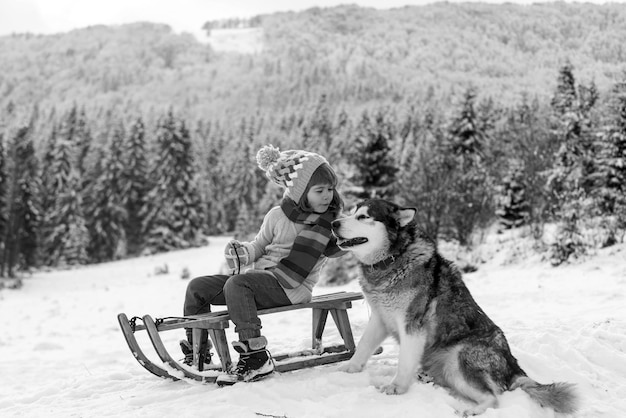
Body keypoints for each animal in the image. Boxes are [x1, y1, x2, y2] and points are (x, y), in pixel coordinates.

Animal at [332, 198, 576, 414]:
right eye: (351, 212)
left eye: (363, 217)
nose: (334, 223)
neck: (392, 259)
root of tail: (514, 366)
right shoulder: (380, 318)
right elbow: (364, 345)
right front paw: (350, 367)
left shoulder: (412, 325)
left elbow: (404, 362)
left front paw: (396, 386)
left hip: (459, 360)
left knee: (493, 398)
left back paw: (470, 410)